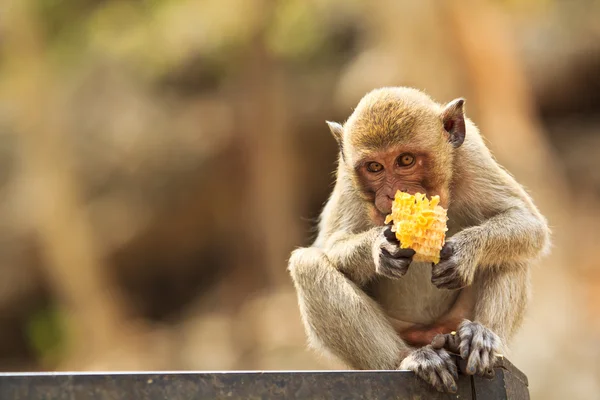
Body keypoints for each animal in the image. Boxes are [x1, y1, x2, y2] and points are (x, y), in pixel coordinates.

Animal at [288, 88, 552, 394]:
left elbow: (526, 222)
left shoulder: (471, 154)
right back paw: (411, 357)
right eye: (374, 167)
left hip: (454, 319)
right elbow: (332, 244)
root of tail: (431, 334)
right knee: (308, 264)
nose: (392, 194)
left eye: (405, 160)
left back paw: (479, 335)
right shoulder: (346, 177)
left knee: (514, 252)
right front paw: (380, 249)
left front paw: (464, 253)